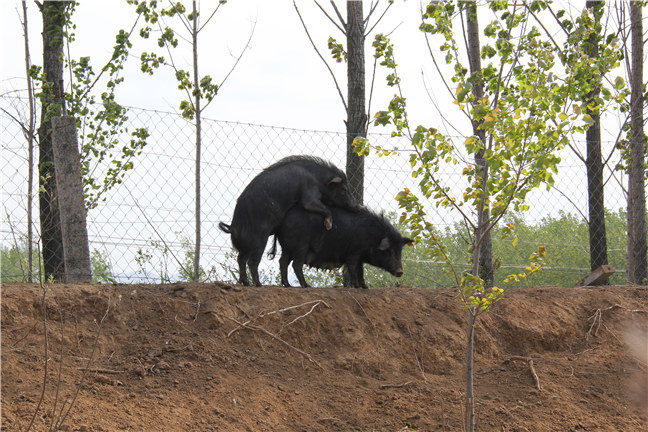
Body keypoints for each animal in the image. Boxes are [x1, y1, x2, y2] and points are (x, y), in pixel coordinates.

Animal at [220, 155, 356, 286]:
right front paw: (328, 225)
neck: (318, 178)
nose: (356, 206)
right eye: (344, 189)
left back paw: (248, 283)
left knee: (240, 259)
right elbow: (318, 206)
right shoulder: (309, 194)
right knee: (252, 262)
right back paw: (258, 284)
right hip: (259, 240)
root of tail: (232, 227)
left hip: (244, 247)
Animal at [270, 205, 412, 288]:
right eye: (389, 251)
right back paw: (306, 286)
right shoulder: (354, 253)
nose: (400, 271)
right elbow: (353, 268)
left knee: (282, 261)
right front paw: (356, 287)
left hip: (287, 248)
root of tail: (282, 221)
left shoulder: (360, 257)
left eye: (400, 251)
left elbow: (360, 271)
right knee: (296, 264)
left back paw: (287, 285)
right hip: (300, 246)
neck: (372, 237)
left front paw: (365, 287)